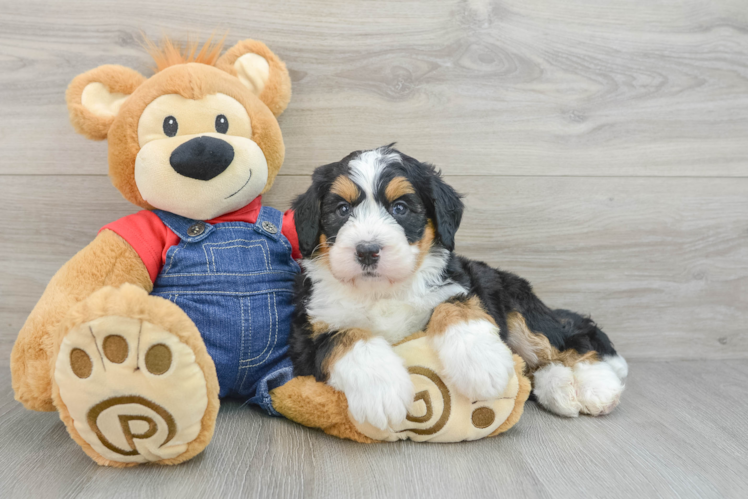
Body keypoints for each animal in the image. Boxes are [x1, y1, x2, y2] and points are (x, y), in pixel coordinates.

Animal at [290, 146, 628, 430]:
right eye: (342, 210)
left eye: (400, 208)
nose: (367, 251)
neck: (382, 291)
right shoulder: (307, 333)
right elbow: (348, 335)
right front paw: (382, 391)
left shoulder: (461, 284)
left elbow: (454, 306)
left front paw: (481, 362)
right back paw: (560, 388)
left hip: (517, 303)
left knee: (569, 339)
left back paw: (597, 385)